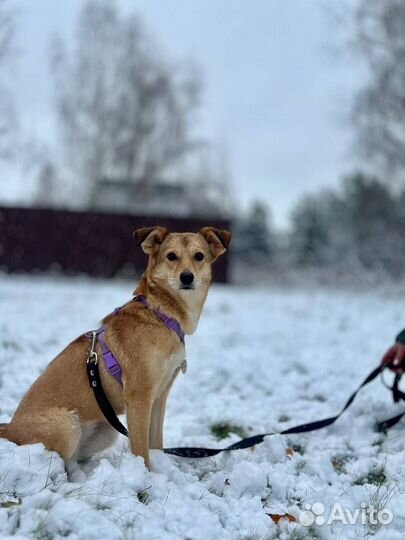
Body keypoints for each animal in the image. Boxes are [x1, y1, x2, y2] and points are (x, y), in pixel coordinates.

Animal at [0, 226, 230, 466]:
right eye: (171, 256)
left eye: (199, 256)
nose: (187, 277)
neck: (161, 314)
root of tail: (8, 428)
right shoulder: (138, 397)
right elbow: (141, 450)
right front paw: (145, 473)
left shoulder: (159, 396)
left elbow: (156, 443)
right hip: (66, 424)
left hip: (105, 430)